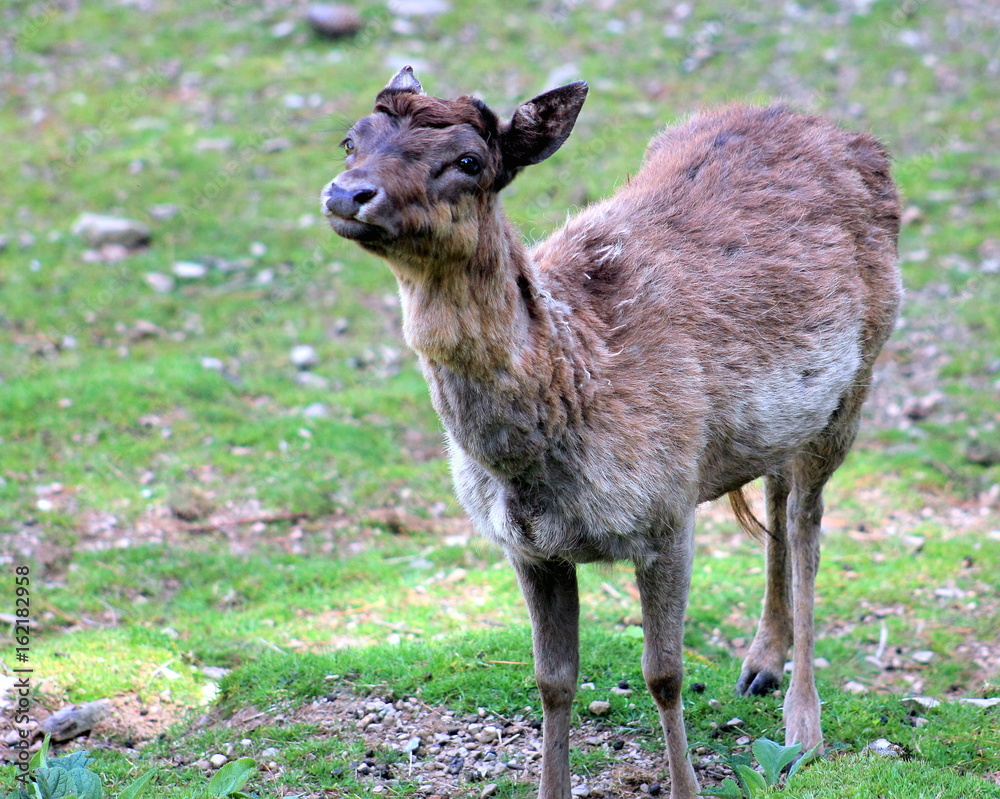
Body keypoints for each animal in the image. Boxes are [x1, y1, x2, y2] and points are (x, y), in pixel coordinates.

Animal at [320, 66, 901, 799]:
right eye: (352, 140)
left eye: (469, 161)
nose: (347, 193)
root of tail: (850, 136)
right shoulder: (527, 548)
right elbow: (552, 680)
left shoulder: (667, 512)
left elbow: (664, 673)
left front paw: (686, 786)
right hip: (784, 418)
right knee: (776, 489)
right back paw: (760, 663)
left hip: (857, 384)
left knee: (807, 521)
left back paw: (804, 725)